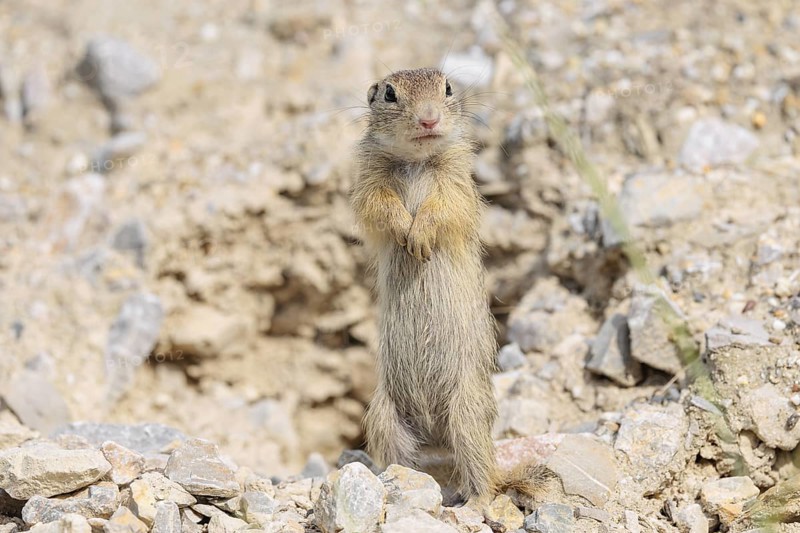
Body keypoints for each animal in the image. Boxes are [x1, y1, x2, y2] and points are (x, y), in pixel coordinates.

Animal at [350, 68, 549, 502]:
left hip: (466, 413)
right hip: (385, 416)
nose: (429, 119)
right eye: (389, 94)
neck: (416, 162)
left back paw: (476, 500)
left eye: (448, 88)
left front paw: (419, 236)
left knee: (484, 474)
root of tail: (434, 435)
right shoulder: (369, 180)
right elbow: (379, 204)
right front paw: (403, 230)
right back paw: (396, 483)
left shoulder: (456, 180)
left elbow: (443, 207)